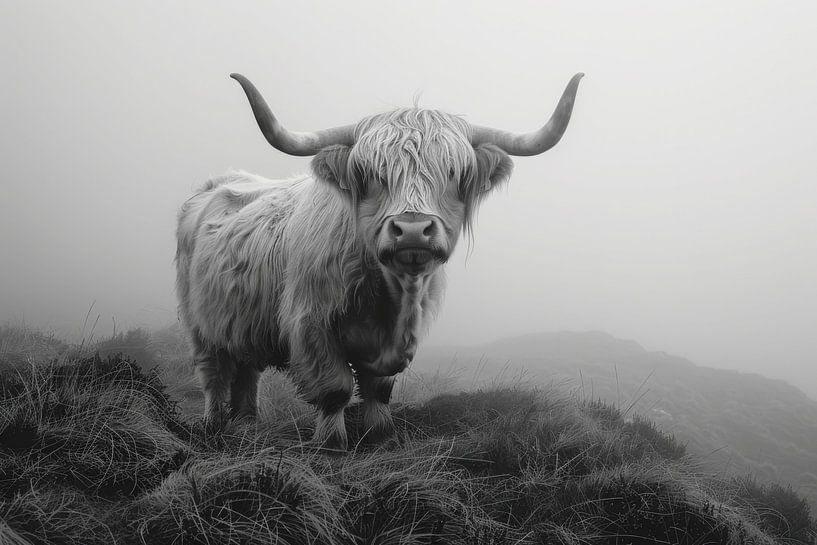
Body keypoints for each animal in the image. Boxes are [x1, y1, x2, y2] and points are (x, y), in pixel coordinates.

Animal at [175, 72, 583, 449]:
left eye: (453, 172)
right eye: (372, 174)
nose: (413, 229)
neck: (391, 295)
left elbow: (380, 389)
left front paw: (379, 435)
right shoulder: (310, 322)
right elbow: (336, 389)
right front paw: (332, 444)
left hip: (242, 323)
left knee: (247, 371)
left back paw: (247, 424)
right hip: (199, 322)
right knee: (214, 375)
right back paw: (215, 426)